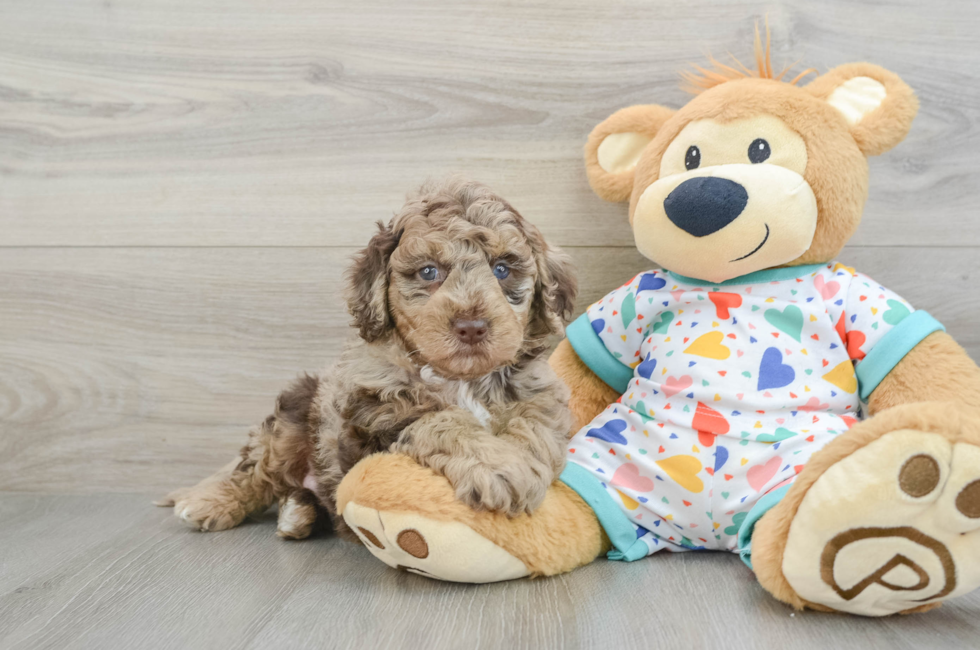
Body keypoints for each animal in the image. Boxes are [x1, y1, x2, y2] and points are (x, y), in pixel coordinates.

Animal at [157, 175, 580, 540]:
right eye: (429, 272)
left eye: (502, 269)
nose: (472, 326)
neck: (462, 380)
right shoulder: (376, 417)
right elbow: (444, 421)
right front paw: (499, 467)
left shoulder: (538, 391)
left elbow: (535, 424)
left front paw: (525, 463)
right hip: (295, 411)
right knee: (256, 467)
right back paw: (210, 501)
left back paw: (298, 512)